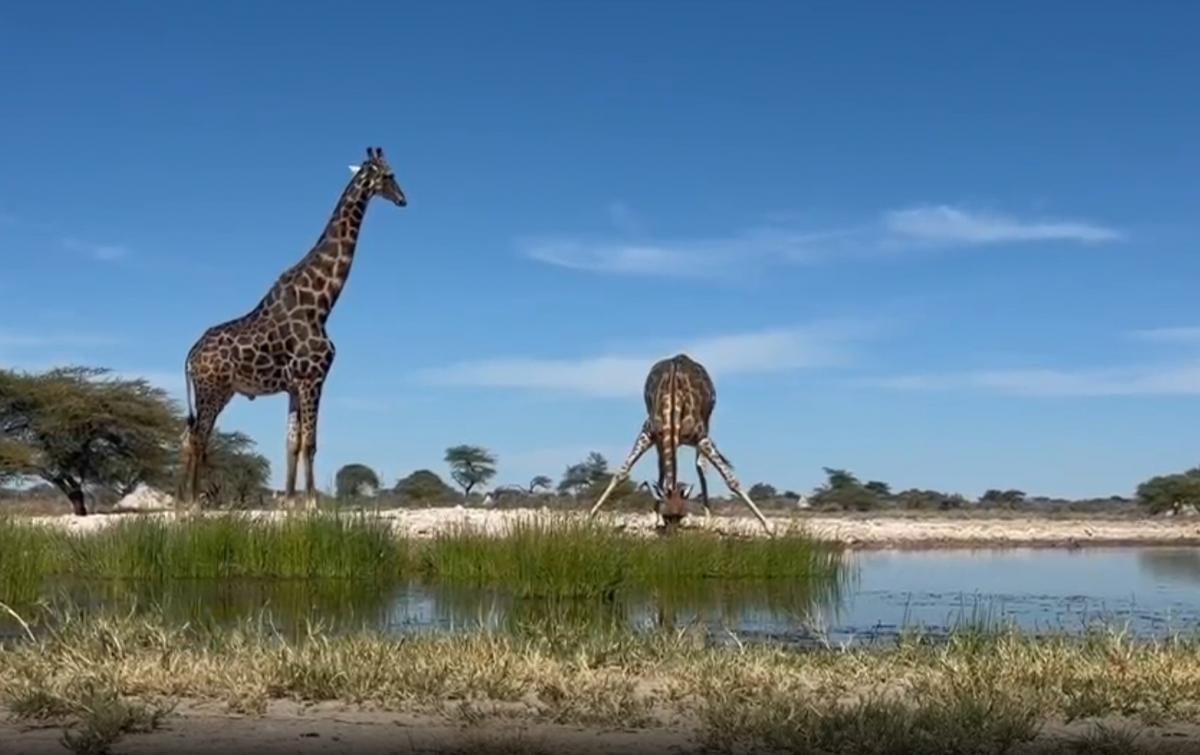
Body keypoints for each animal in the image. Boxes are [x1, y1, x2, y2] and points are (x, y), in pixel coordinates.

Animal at [179, 146, 407, 510]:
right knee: (199, 438)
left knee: (192, 437)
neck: (322, 303)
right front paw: (312, 502)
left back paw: (183, 501)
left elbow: (292, 443)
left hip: (219, 392)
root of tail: (189, 355)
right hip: (211, 390)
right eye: (389, 175)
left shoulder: (294, 386)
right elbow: (310, 442)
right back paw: (193, 502)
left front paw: (288, 502)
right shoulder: (313, 378)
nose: (403, 200)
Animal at [588, 353, 773, 534]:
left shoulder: (700, 436)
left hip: (706, 424)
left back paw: (708, 520)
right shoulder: (648, 432)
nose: (672, 536)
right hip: (663, 439)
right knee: (663, 467)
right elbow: (622, 472)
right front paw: (590, 517)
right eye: (667, 516)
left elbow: (731, 480)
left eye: (682, 515)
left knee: (700, 465)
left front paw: (768, 526)